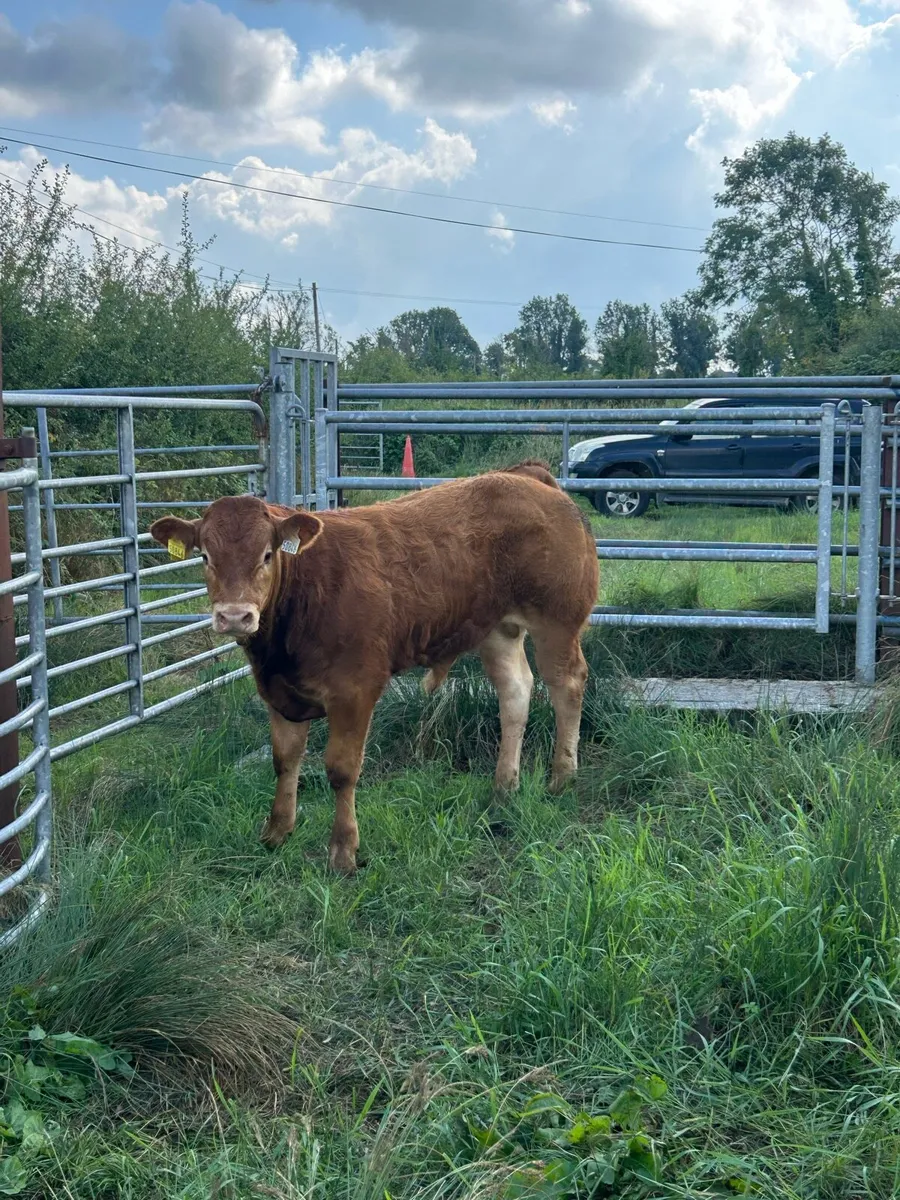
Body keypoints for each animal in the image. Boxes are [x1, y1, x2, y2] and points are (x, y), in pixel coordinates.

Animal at [149, 462, 599, 873]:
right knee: (515, 693)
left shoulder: (354, 690)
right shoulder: (279, 693)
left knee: (567, 686)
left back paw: (561, 777)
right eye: (205, 556)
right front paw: (277, 832)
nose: (234, 616)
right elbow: (285, 760)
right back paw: (504, 788)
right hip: (497, 630)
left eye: (267, 554)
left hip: (556, 620)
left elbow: (342, 769)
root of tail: (525, 476)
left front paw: (343, 851)